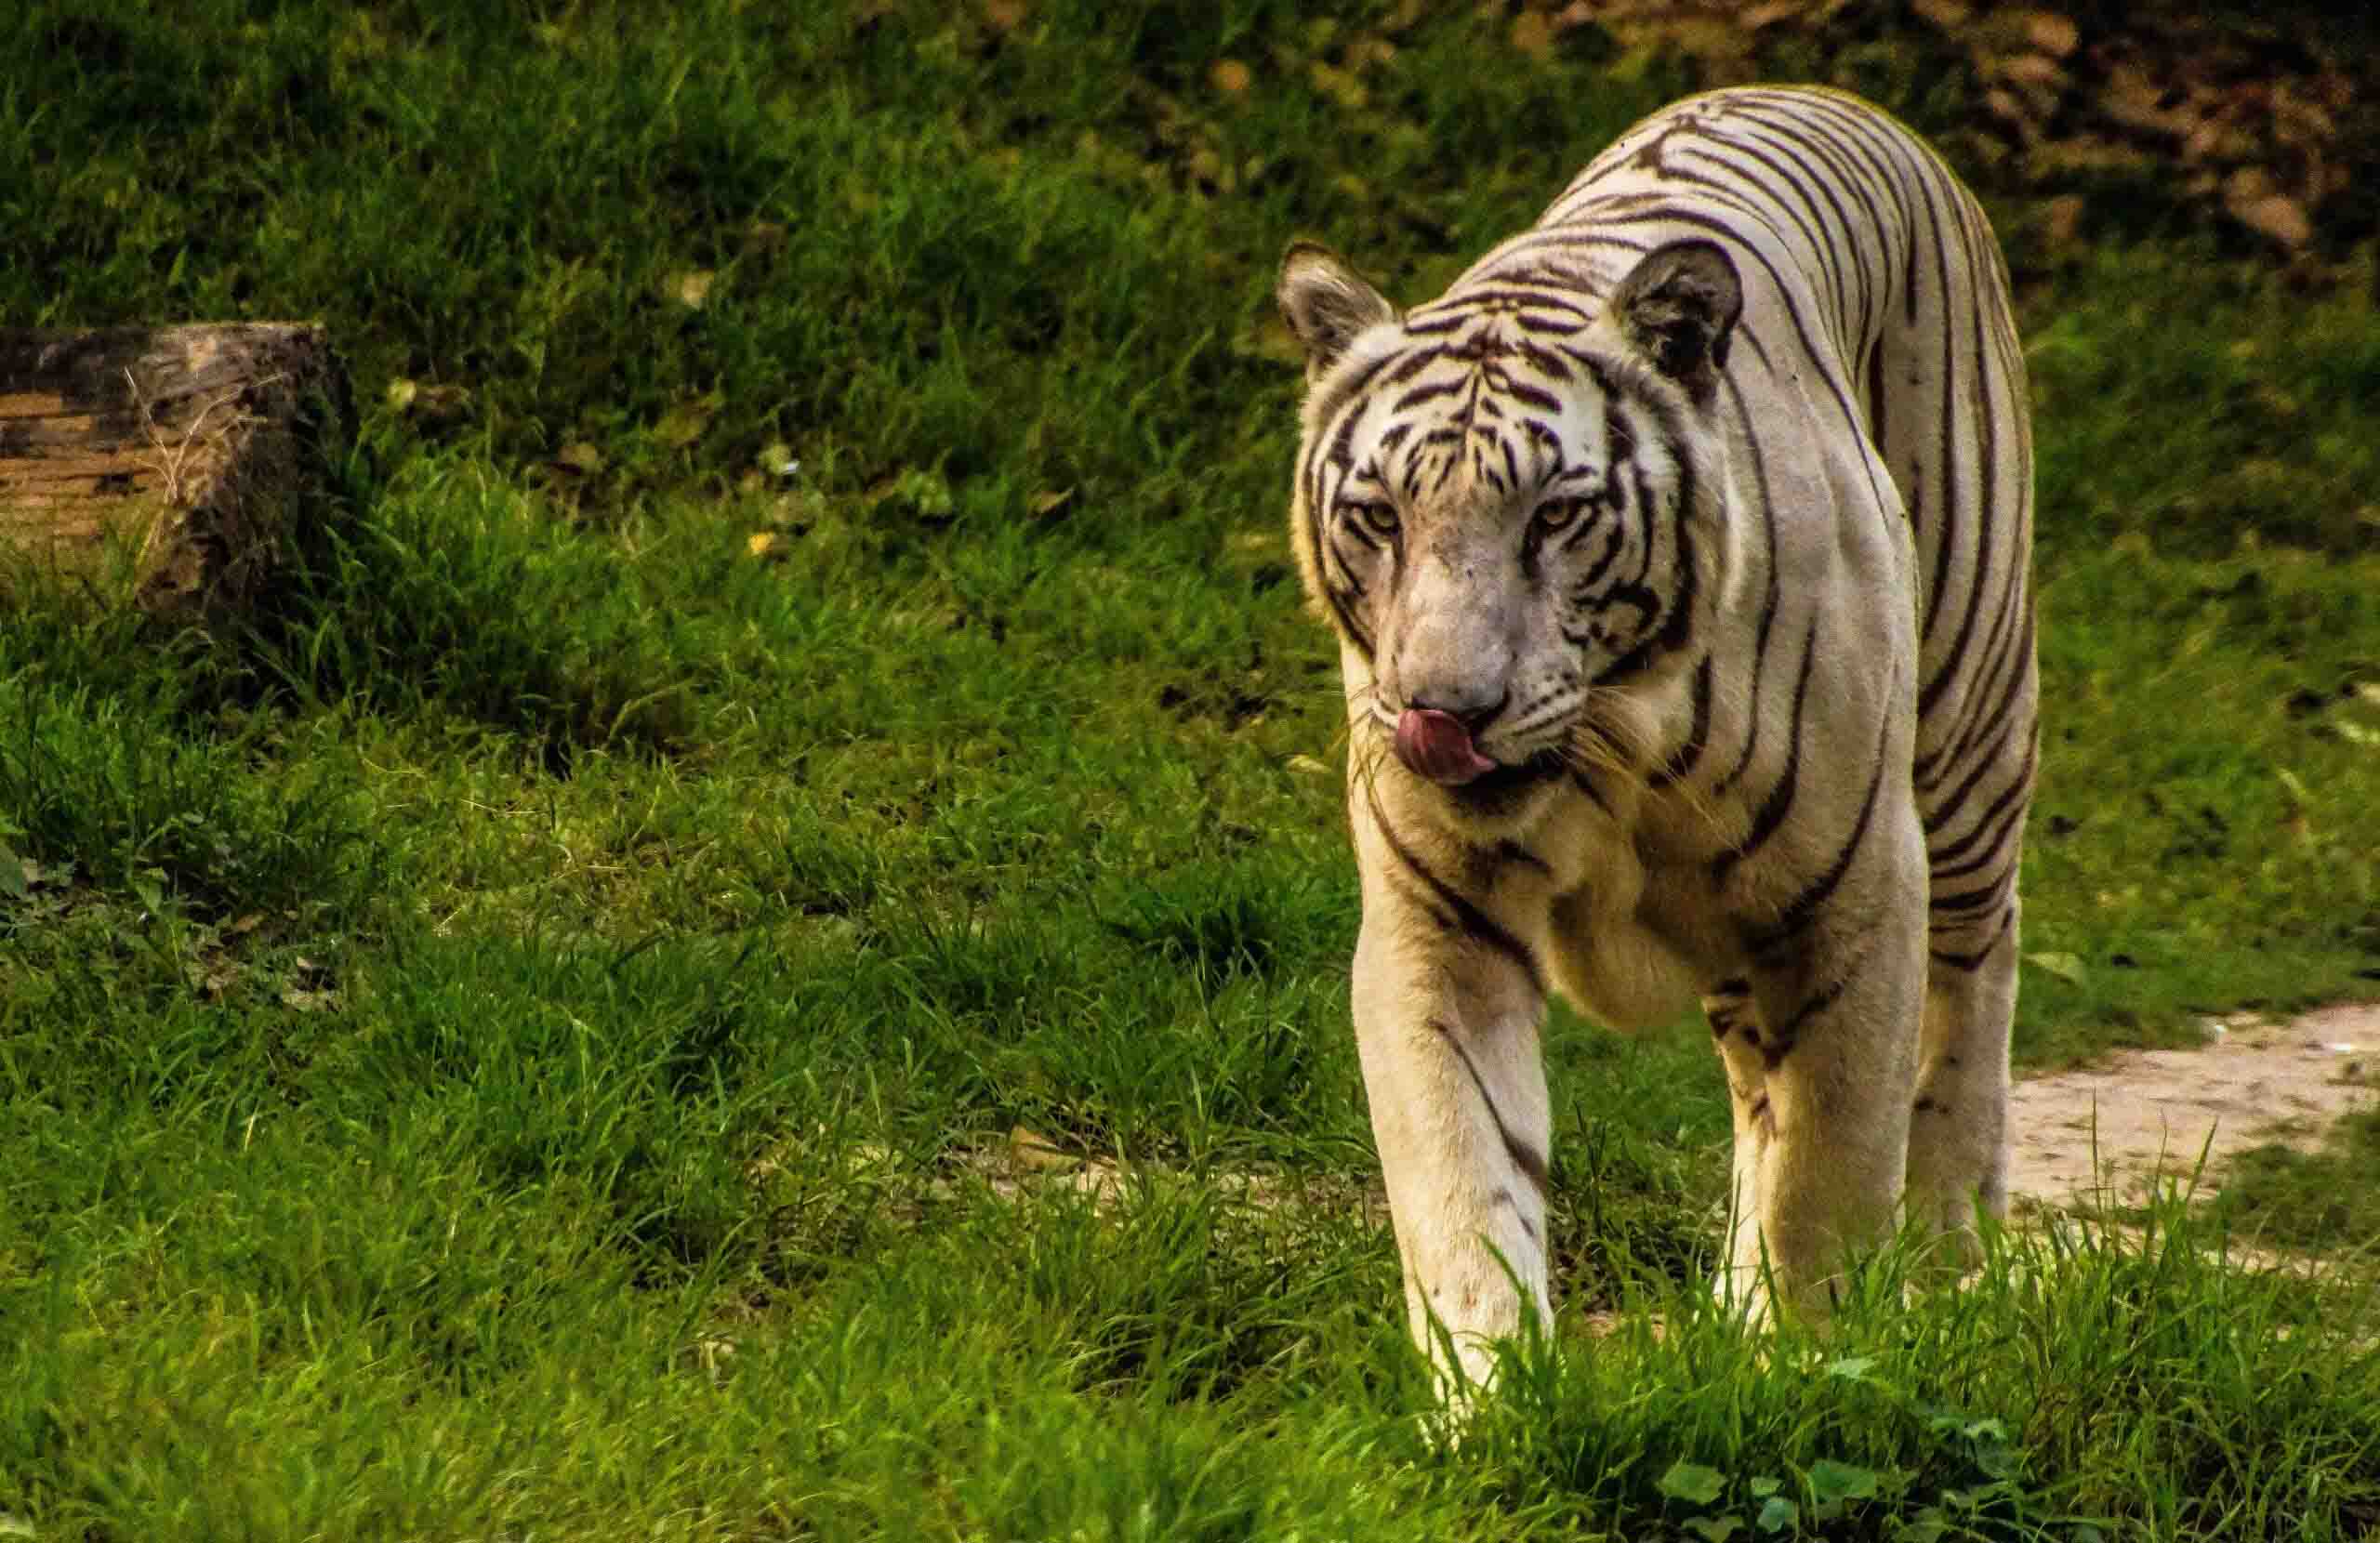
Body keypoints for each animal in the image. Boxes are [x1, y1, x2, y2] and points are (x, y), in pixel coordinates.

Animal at [1275, 84, 2036, 1396]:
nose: (1441, 712)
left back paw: (1949, 1263)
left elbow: (1828, 1179)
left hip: (1967, 739)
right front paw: (1490, 1403)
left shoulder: (1855, 899)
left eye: (1555, 516)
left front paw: (1815, 1376)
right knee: (1754, 1091)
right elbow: (1463, 1179)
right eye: (1379, 517)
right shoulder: (1438, 925)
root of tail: (1832, 95)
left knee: (1972, 986)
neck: (1614, 750)